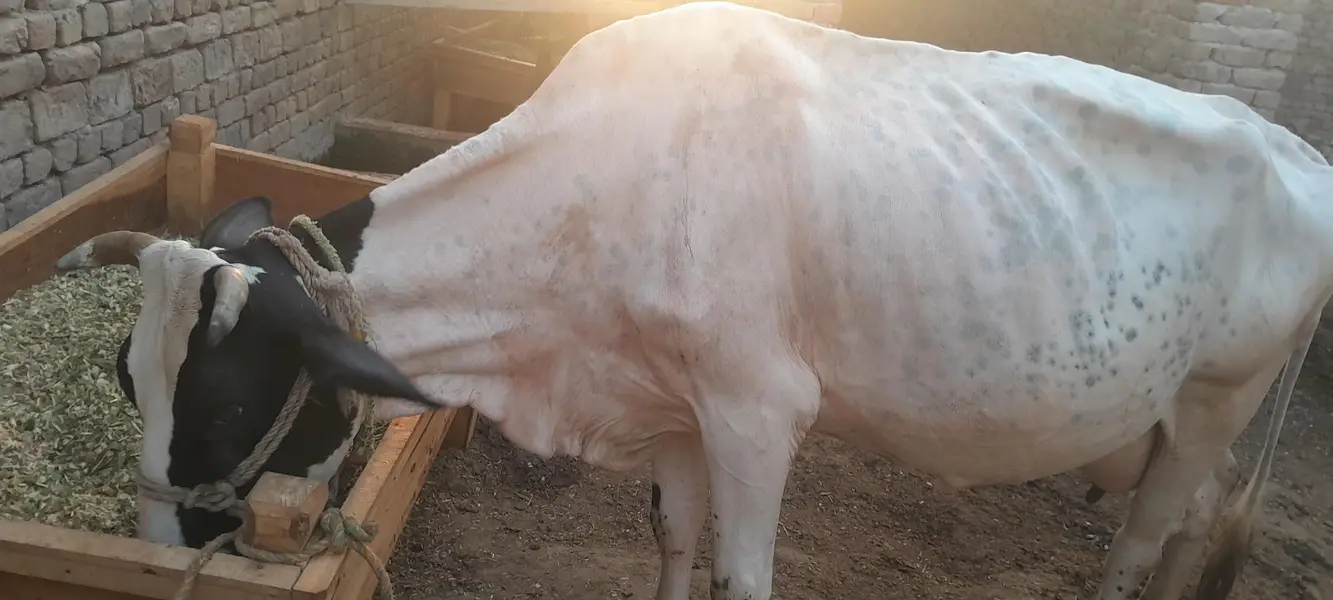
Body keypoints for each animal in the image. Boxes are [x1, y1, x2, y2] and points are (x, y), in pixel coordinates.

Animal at [52, 3, 1333, 600]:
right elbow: (673, 538)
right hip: (1182, 418)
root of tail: (1294, 146)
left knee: (1143, 539)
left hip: (1216, 395)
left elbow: (738, 572)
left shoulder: (759, 410)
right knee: (1186, 525)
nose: (156, 550)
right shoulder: (666, 403)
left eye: (222, 412)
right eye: (123, 377)